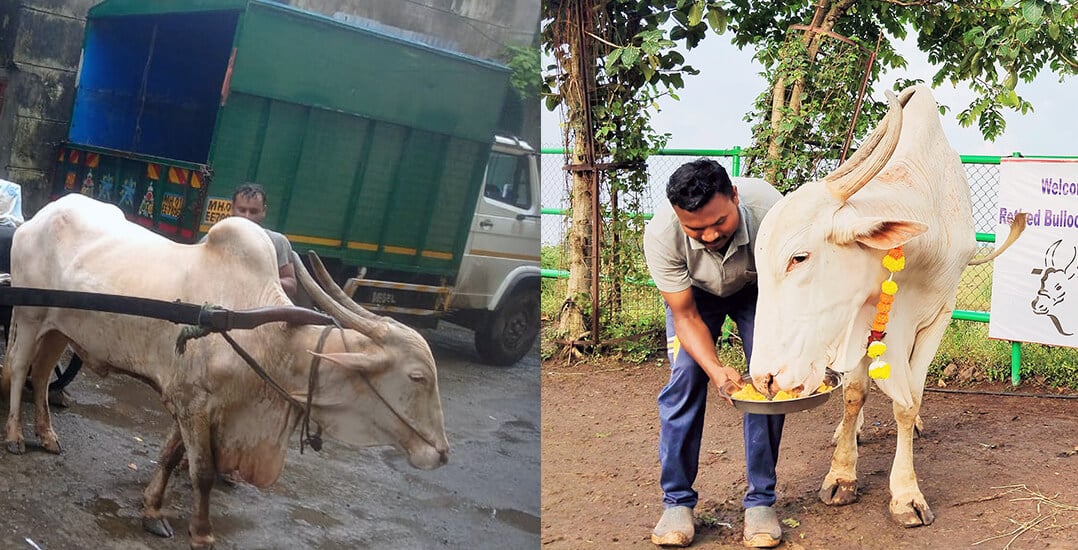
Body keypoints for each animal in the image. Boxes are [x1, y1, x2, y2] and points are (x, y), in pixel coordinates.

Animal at [2, 193, 448, 545]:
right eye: (418, 376)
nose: (441, 453)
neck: (260, 333)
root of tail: (41, 216)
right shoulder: (193, 404)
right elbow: (202, 472)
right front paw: (201, 533)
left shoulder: (192, 402)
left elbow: (170, 456)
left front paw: (152, 511)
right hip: (29, 314)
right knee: (20, 369)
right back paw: (16, 437)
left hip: (60, 328)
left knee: (42, 374)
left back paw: (47, 435)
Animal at [745, 83, 1021, 526]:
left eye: (798, 257)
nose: (766, 380)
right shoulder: (857, 321)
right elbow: (855, 393)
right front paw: (842, 474)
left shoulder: (937, 318)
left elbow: (908, 403)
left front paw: (906, 493)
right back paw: (849, 430)